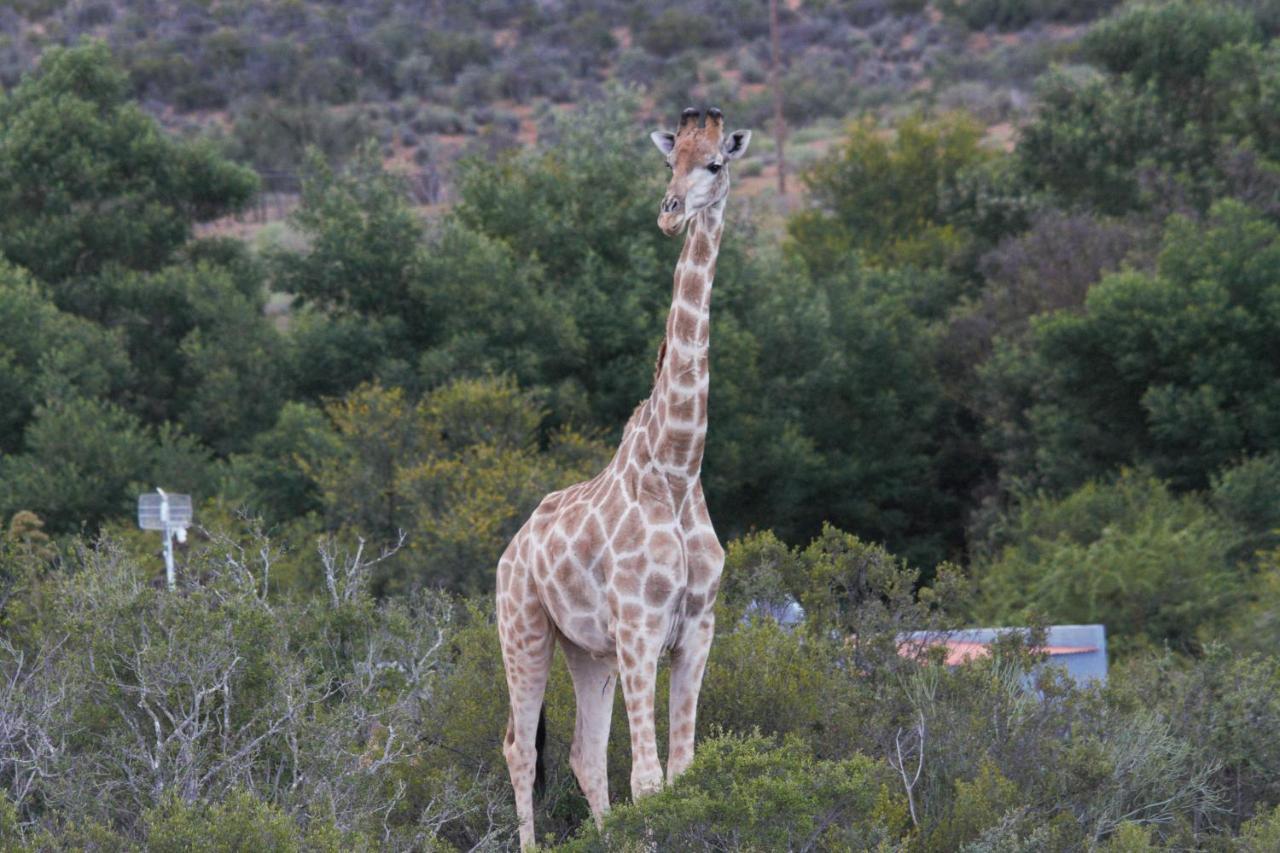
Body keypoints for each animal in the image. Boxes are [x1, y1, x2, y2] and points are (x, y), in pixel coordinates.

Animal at [491, 106, 747, 845]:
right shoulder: (640, 627)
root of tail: (510, 549)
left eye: (714, 162)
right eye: (668, 162)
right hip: (523, 628)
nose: (668, 214)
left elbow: (683, 772)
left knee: (583, 753)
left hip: (588, 650)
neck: (679, 468)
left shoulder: (696, 631)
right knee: (520, 748)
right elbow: (650, 780)